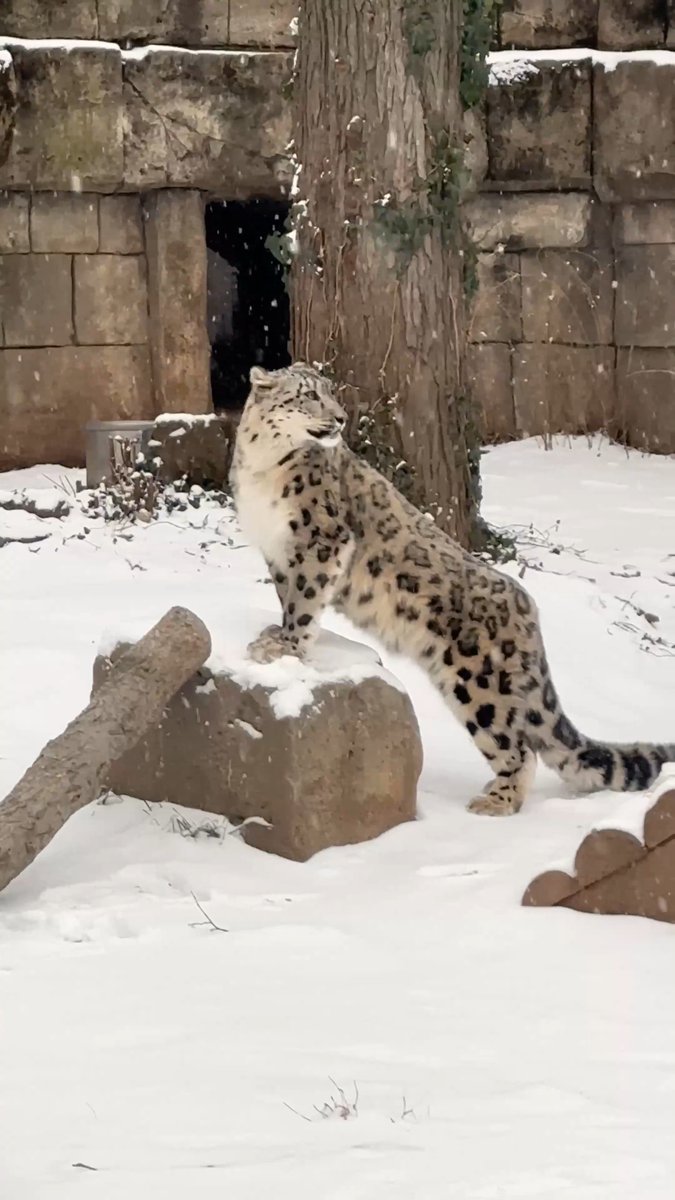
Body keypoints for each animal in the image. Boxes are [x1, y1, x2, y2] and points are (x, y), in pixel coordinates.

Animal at [230, 362, 675, 816]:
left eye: (330, 393)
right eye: (308, 395)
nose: (339, 417)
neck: (262, 467)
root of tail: (528, 610)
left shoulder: (321, 539)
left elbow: (305, 599)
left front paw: (285, 647)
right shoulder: (277, 553)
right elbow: (289, 597)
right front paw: (277, 636)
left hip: (479, 682)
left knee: (518, 747)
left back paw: (495, 802)